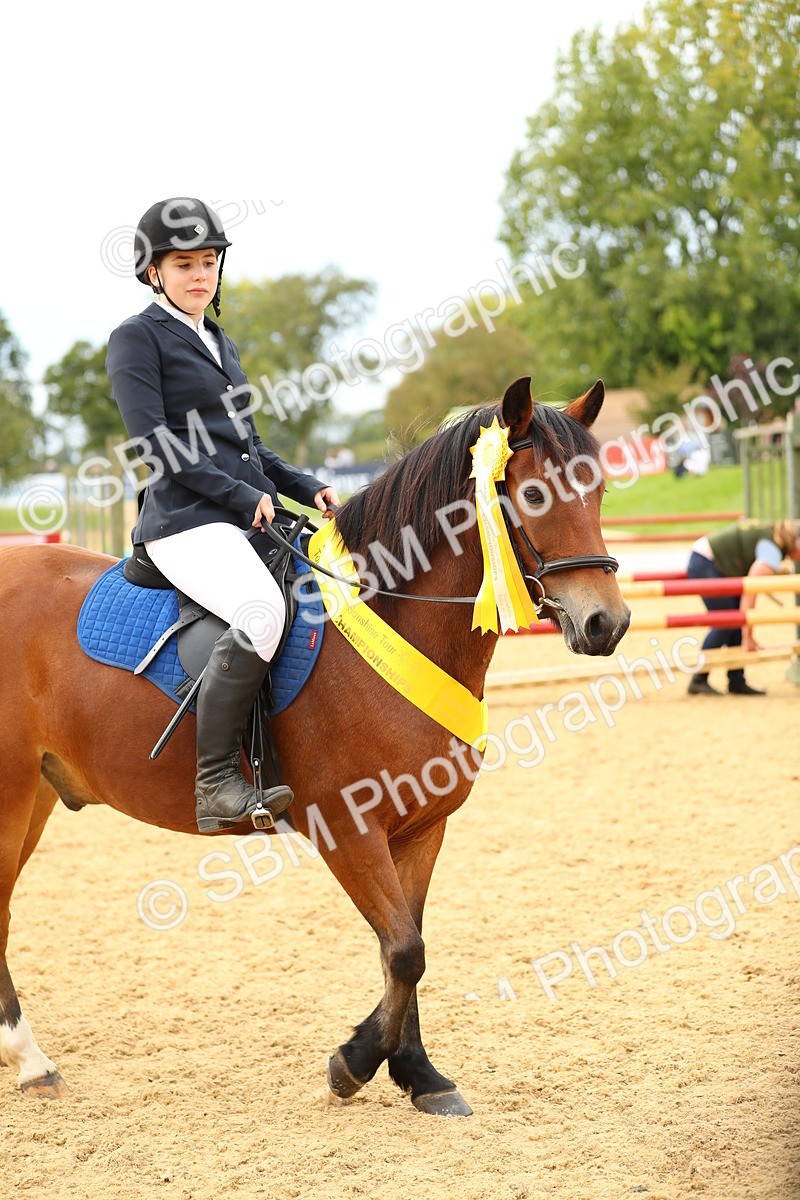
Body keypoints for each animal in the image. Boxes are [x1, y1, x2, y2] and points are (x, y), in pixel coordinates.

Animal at [0, 376, 630, 1115]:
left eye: (600, 491)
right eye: (532, 495)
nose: (607, 623)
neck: (394, 621)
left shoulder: (420, 828)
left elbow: (408, 946)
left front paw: (419, 1075)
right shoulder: (347, 828)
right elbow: (404, 950)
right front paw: (353, 1064)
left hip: (38, 796)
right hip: (10, 797)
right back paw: (32, 1061)